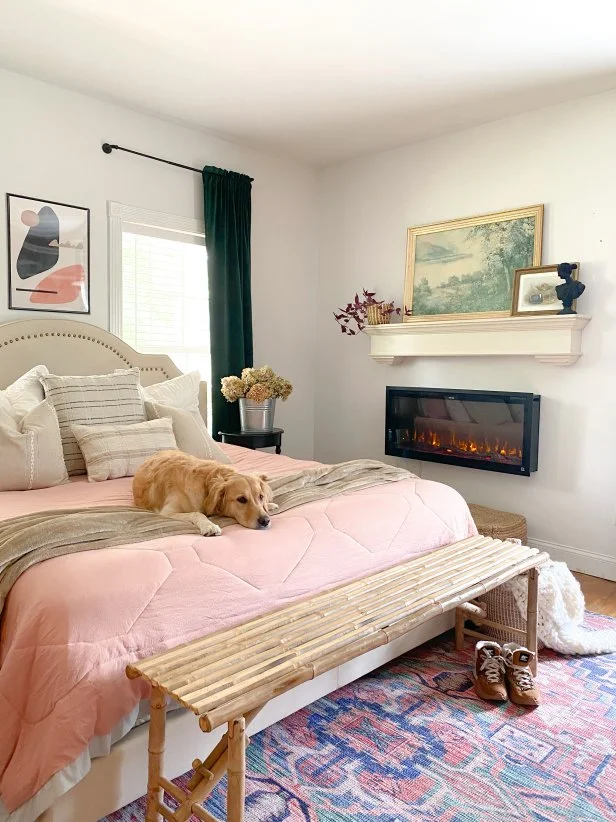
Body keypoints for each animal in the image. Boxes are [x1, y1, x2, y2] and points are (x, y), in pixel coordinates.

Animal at [134, 454, 276, 536]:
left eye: (261, 496)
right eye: (241, 499)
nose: (266, 521)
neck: (207, 486)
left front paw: (269, 504)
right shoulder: (167, 513)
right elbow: (197, 513)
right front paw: (209, 525)